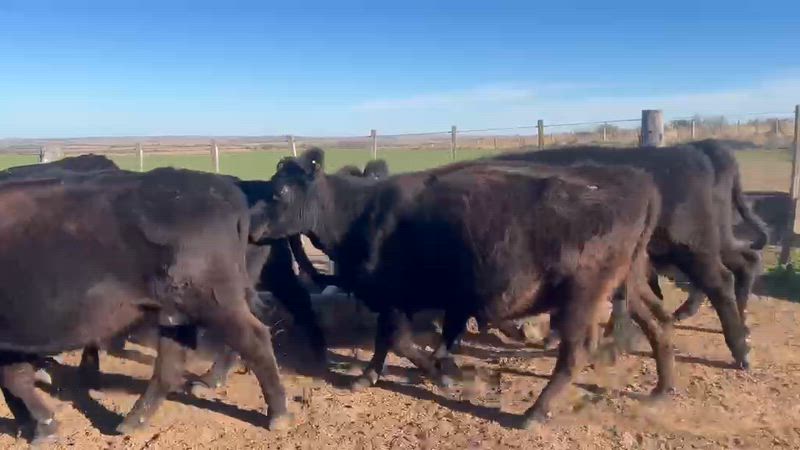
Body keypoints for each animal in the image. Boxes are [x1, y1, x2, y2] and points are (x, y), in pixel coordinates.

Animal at [0, 168, 292, 444]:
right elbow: (13, 381)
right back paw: (133, 421)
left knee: (254, 339)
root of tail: (223, 188)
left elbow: (13, 380)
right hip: (175, 314)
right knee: (170, 365)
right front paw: (29, 426)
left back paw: (278, 415)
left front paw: (43, 425)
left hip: (215, 303)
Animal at [249, 148, 674, 429]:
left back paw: (534, 413)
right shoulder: (393, 298)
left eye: (279, 193)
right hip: (629, 281)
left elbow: (399, 341)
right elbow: (387, 341)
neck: (363, 212)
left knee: (575, 352)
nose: (250, 228)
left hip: (581, 296)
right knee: (657, 321)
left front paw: (445, 375)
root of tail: (637, 180)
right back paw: (663, 388)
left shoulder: (394, 295)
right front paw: (367, 375)